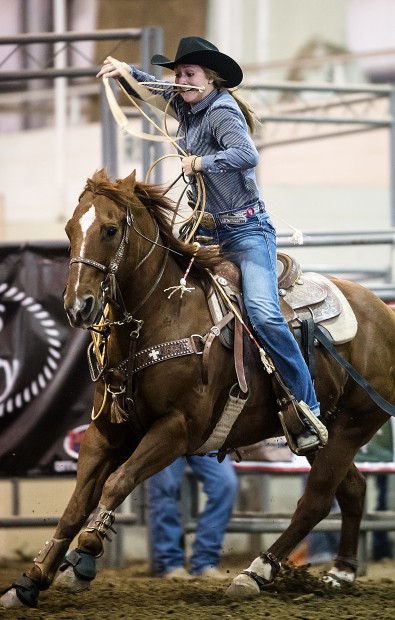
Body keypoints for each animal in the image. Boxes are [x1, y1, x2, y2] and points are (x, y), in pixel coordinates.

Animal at [1, 170, 394, 612]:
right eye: (69, 230)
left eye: (110, 229)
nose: (77, 307)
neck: (160, 316)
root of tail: (384, 313)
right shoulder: (106, 432)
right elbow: (76, 504)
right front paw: (30, 580)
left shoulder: (177, 429)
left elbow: (118, 482)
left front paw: (84, 555)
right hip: (324, 436)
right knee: (353, 490)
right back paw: (341, 573)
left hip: (351, 427)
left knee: (316, 501)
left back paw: (255, 573)